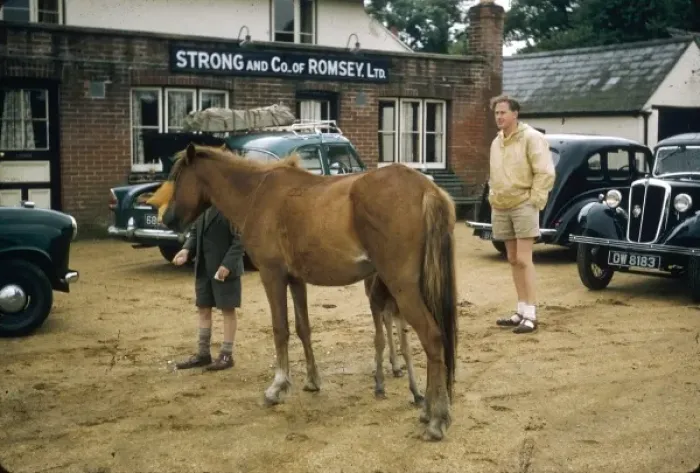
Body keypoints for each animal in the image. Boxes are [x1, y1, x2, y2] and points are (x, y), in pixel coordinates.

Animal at [146, 143, 458, 441]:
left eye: (177, 177)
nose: (166, 218)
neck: (256, 193)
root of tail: (427, 189)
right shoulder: (296, 280)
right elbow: (303, 328)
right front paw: (312, 381)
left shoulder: (272, 275)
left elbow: (280, 329)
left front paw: (277, 387)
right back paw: (428, 410)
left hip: (403, 288)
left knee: (432, 338)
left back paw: (436, 420)